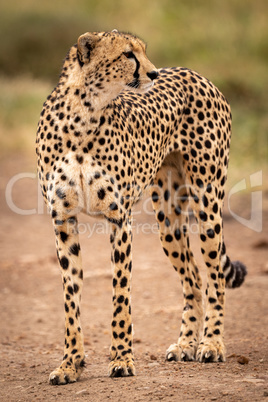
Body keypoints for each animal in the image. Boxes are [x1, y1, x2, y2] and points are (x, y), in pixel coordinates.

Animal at [36, 29, 247, 384]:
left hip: (207, 201)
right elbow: (71, 297)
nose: (154, 73)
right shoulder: (63, 219)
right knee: (193, 277)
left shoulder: (119, 217)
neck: (83, 114)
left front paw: (122, 359)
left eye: (143, 51)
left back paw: (211, 344)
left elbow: (121, 294)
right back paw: (185, 344)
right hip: (168, 221)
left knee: (214, 274)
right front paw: (70, 364)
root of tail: (196, 74)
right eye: (127, 54)